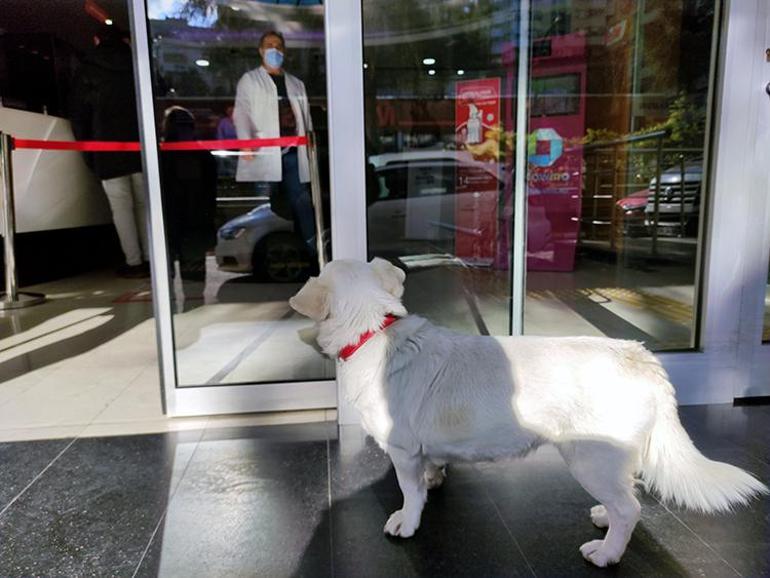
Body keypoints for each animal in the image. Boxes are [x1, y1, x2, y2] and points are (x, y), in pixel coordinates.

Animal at [290, 258, 768, 564]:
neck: (373, 330)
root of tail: (640, 356)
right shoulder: (421, 451)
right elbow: (431, 472)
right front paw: (434, 481)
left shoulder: (403, 451)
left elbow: (409, 493)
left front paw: (406, 522)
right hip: (614, 460)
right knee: (626, 496)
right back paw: (604, 517)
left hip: (589, 458)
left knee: (630, 510)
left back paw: (607, 553)